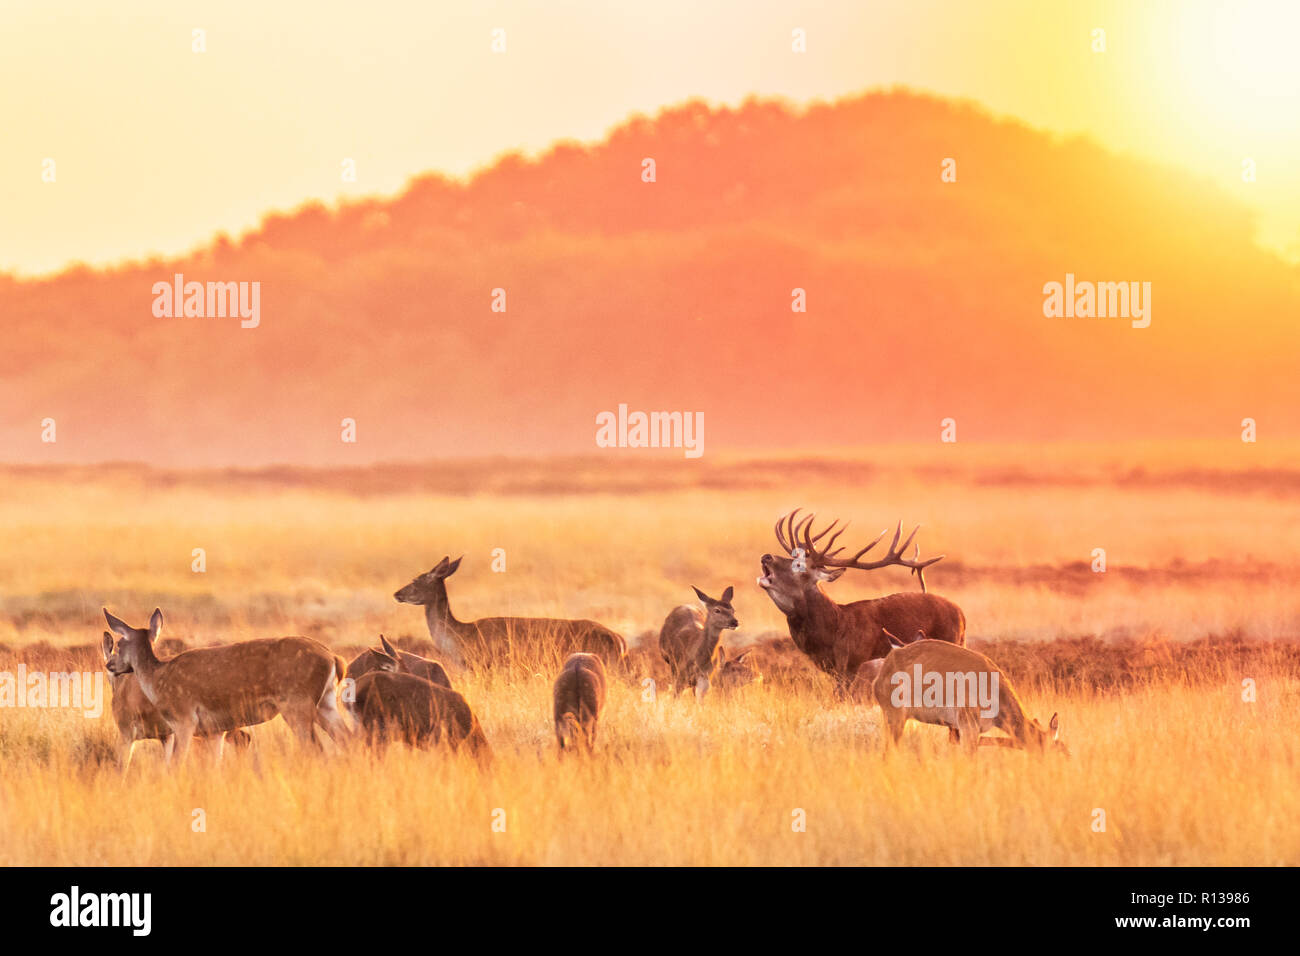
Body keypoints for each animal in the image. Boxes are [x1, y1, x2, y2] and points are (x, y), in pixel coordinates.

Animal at [103, 608, 351, 764]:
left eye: (120, 643)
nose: (110, 664)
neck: (157, 681)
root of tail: (335, 659)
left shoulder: (184, 719)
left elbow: (175, 765)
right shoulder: (214, 730)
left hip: (296, 705)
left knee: (317, 749)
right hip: (326, 703)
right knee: (349, 739)